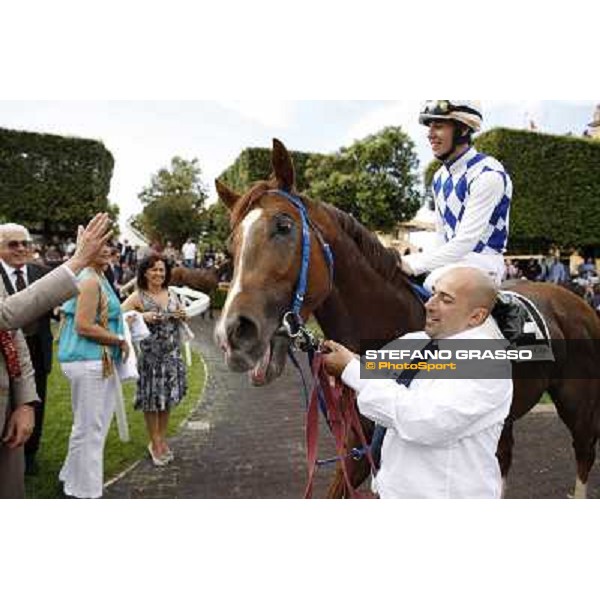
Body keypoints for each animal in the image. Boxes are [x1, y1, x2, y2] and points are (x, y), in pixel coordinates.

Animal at [214, 138, 600, 500]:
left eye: (283, 226)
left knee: (584, 452)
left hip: (577, 401)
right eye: (231, 245)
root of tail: (578, 302)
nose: (233, 332)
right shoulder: (358, 447)